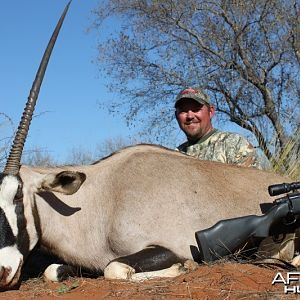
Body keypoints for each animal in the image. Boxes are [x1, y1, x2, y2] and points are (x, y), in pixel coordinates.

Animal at [0, 1, 294, 290]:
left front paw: (184, 267)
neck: (102, 199)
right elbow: (54, 271)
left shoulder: (169, 246)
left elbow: (114, 268)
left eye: (18, 195)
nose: (4, 272)